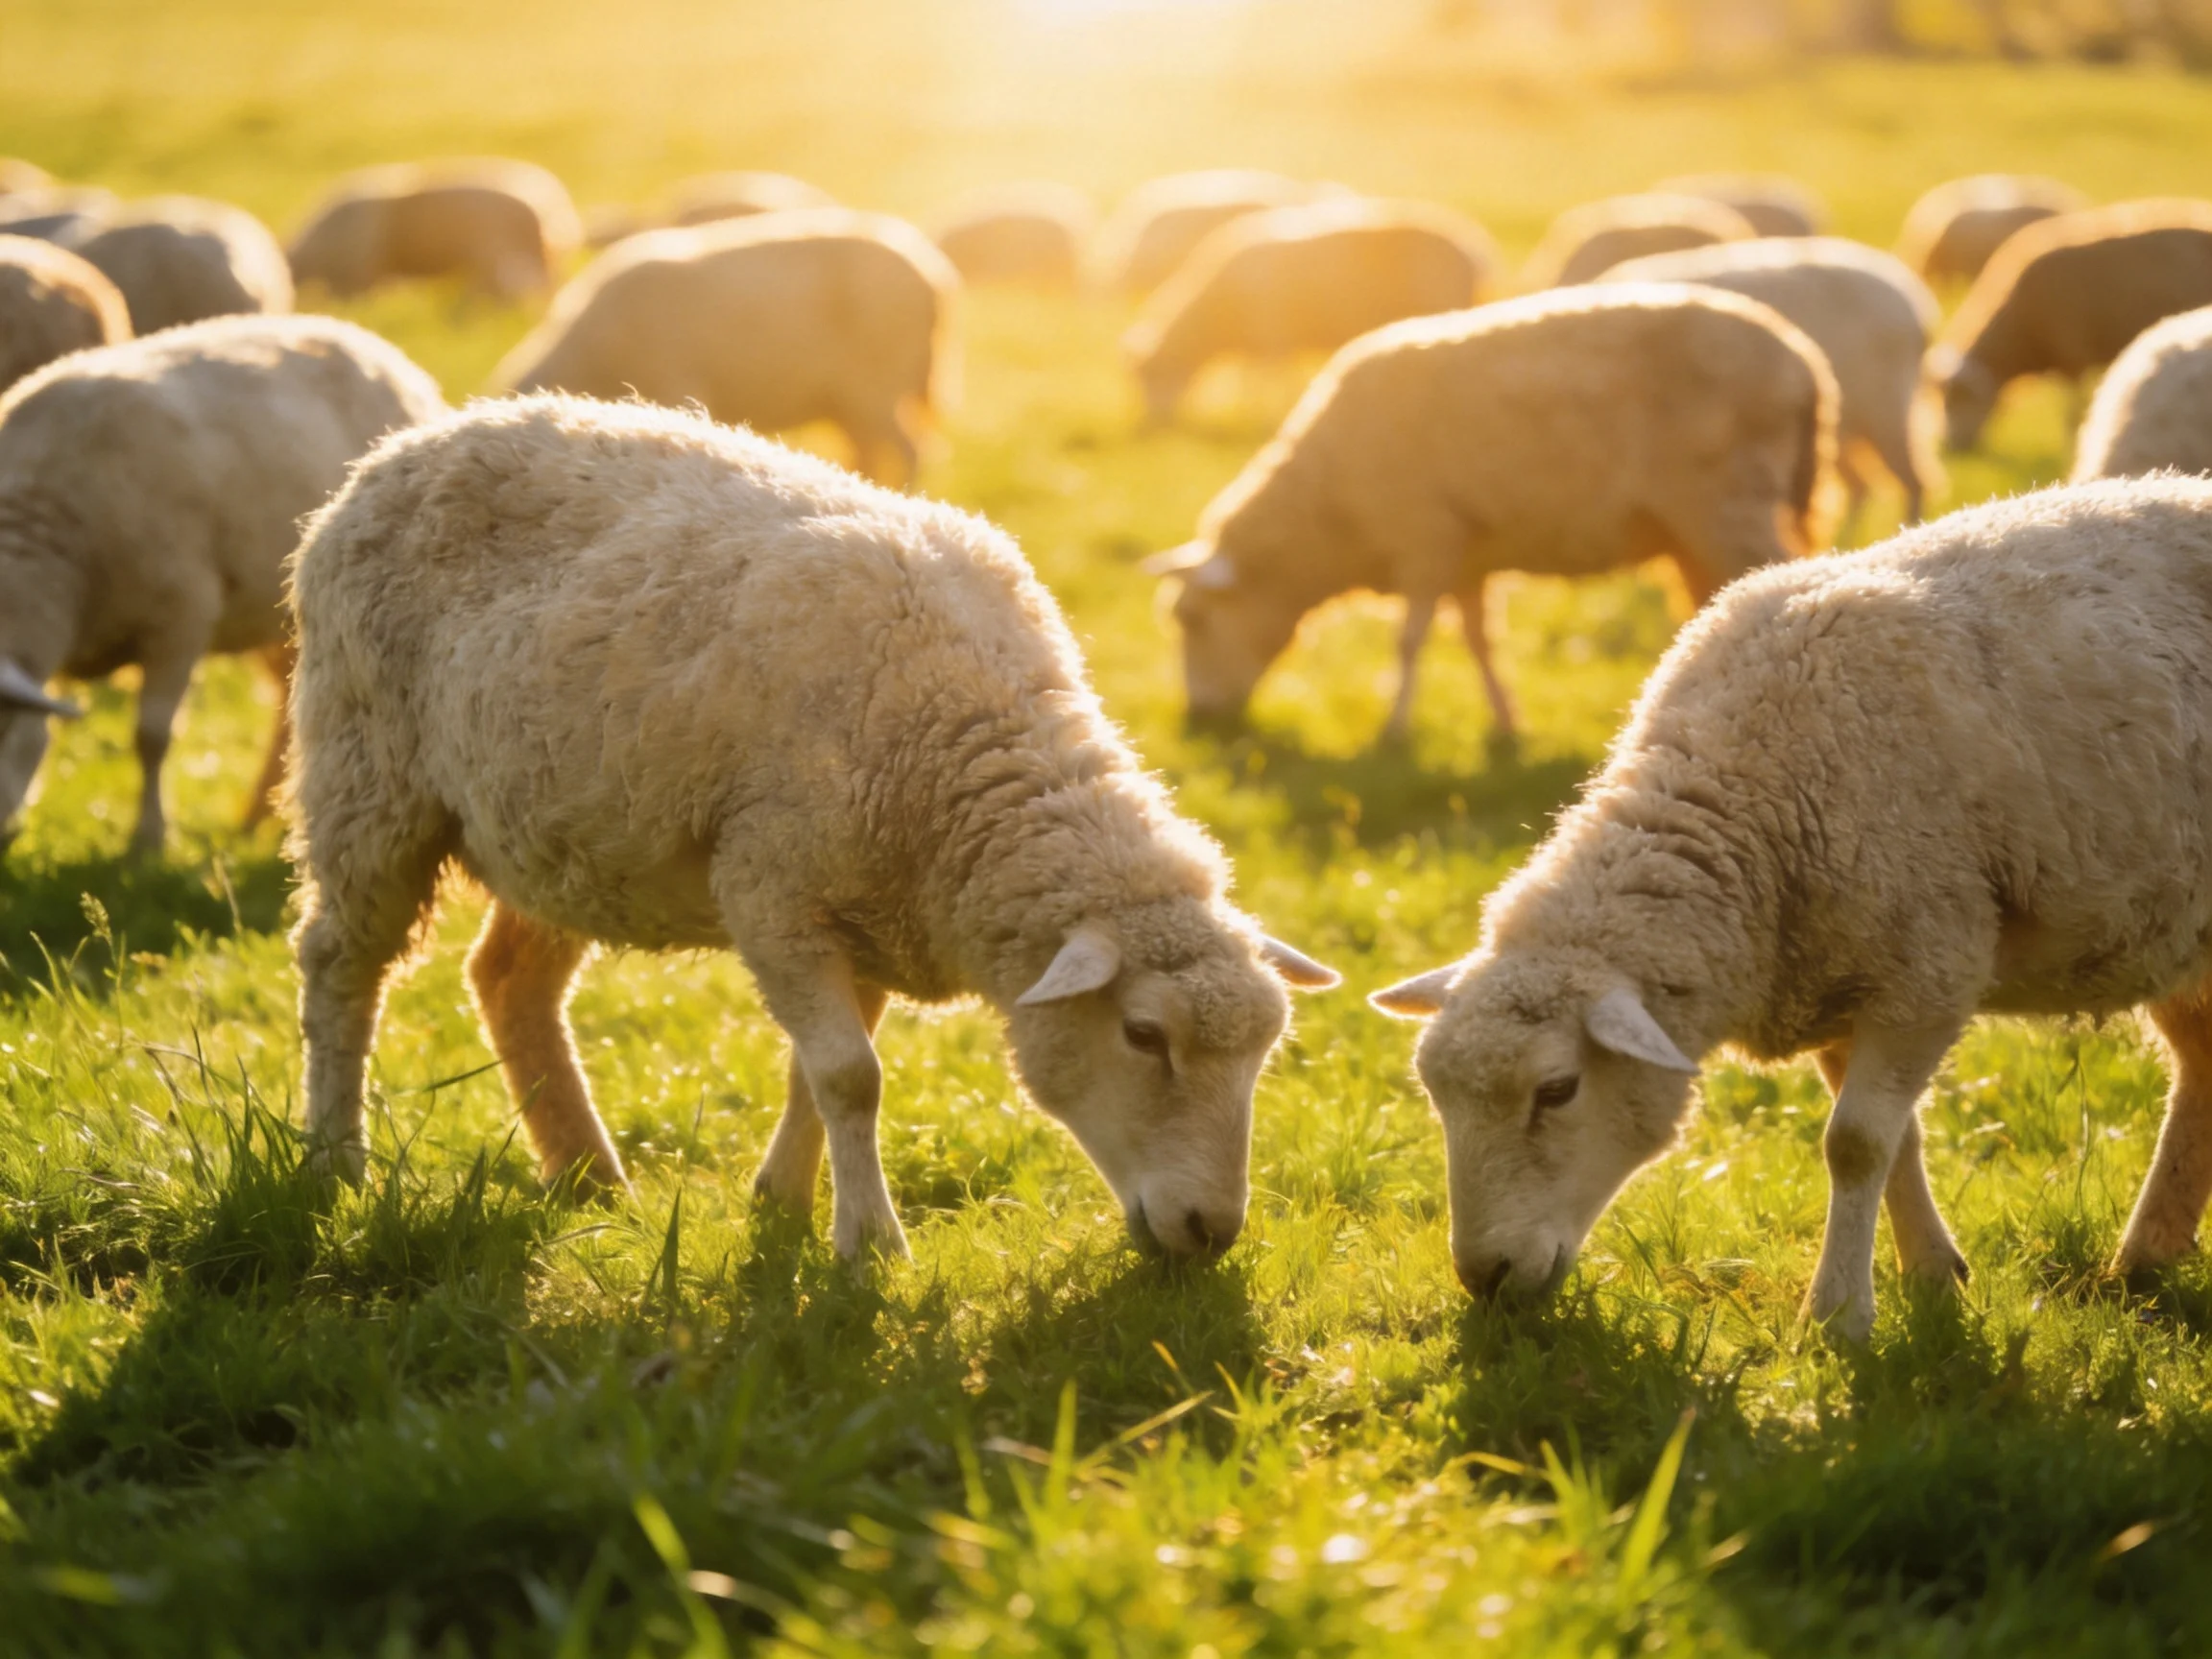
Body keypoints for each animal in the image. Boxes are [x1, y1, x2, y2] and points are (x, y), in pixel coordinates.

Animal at [285, 394, 1340, 1257]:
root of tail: (402, 447)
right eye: (1144, 1035)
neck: (961, 750)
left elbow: (816, 1074)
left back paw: (587, 1174)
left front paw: (783, 1202)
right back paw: (337, 1159)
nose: (1211, 1232)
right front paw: (868, 1242)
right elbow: (849, 1077)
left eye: (1264, 1053)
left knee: (508, 981)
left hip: (559, 830)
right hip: (368, 776)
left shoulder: (871, 914)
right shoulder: (773, 889)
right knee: (339, 964)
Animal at [491, 209, 958, 488]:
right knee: (870, 452)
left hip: (875, 384)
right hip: (848, 400)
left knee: (911, 450)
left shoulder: (675, 383)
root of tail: (933, 277)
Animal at [1123, 199, 1499, 425]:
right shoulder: (1263, 342)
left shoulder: (1272, 335)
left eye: (1151, 375)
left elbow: (1270, 381)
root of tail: (1474, 247)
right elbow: (1254, 380)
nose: (1153, 425)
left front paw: (1270, 417)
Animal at [1149, 284, 1837, 751]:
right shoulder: (1466, 554)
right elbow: (1479, 640)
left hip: (1729, 503)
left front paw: (1394, 730)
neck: (1326, 511)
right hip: (1697, 526)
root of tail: (1806, 363)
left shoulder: (1423, 536)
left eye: (1194, 619)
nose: (1198, 719)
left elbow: (1408, 640)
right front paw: (1505, 725)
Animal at [1372, 477, 2212, 1342]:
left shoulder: (1928, 970)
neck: (1751, 804)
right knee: (2201, 1067)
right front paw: (1931, 1273)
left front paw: (1840, 1312)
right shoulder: (1837, 976)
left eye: (1557, 1091)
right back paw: (2147, 1255)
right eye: (1435, 1096)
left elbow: (1855, 1143)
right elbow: (1898, 1142)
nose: (1487, 1278)